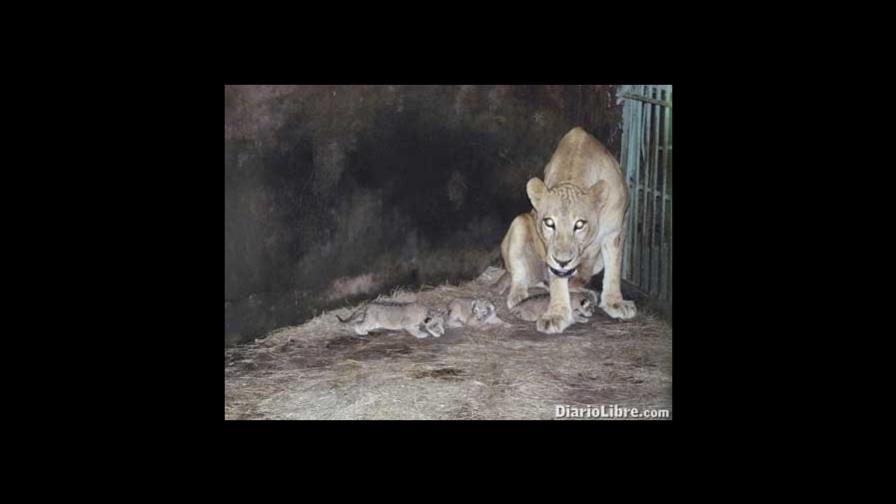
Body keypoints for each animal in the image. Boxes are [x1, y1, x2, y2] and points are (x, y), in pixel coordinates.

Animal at [499, 126, 636, 334]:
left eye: (579, 224)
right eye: (549, 223)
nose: (562, 262)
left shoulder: (614, 232)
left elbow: (613, 271)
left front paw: (615, 302)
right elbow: (557, 281)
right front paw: (557, 315)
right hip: (520, 222)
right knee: (522, 277)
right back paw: (519, 295)